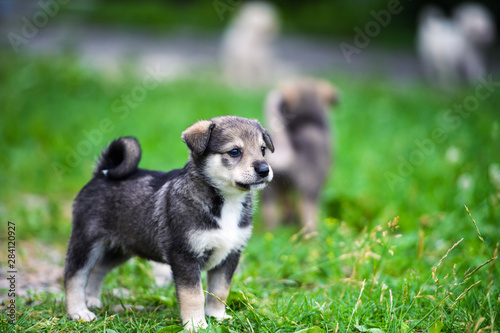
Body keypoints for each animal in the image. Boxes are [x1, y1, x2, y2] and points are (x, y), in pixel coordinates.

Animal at [63, 115, 276, 330]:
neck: (226, 201)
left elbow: (220, 291)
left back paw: (91, 300)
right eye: (234, 152)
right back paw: (79, 312)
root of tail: (102, 173)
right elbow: (193, 295)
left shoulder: (230, 255)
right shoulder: (185, 256)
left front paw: (218, 317)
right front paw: (196, 324)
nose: (264, 169)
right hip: (86, 241)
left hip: (122, 248)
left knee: (98, 269)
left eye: (262, 149)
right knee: (75, 275)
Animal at [260, 78, 338, 233]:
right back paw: (313, 235)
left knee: (270, 213)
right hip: (310, 188)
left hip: (268, 191)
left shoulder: (282, 187)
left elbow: (286, 203)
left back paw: (272, 233)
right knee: (307, 211)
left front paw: (288, 220)